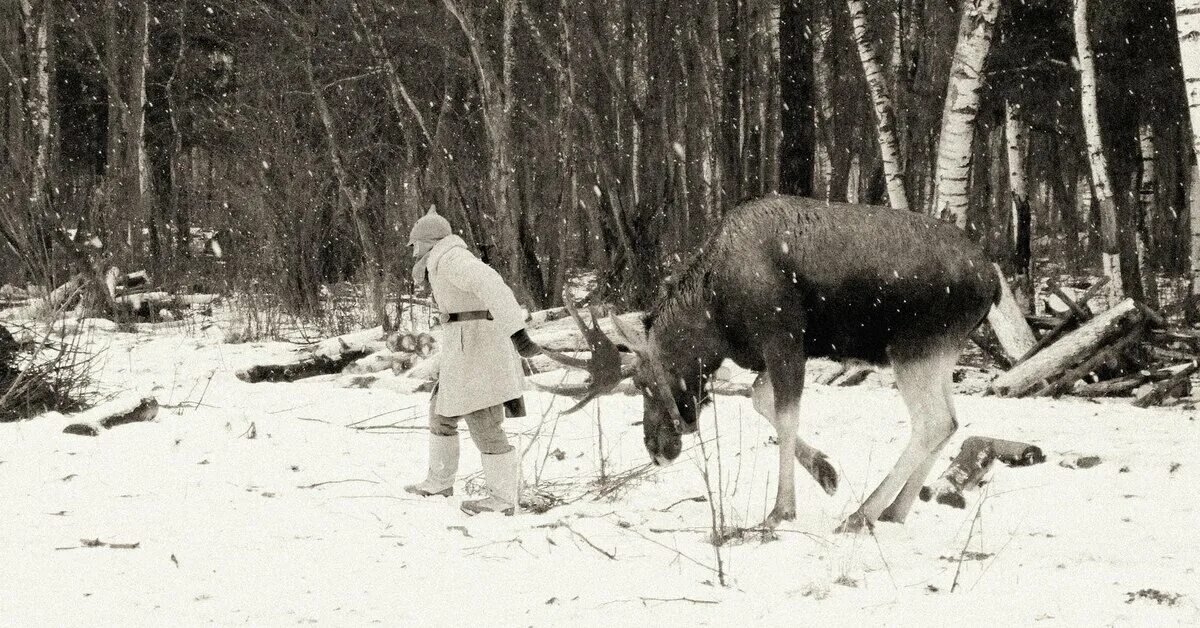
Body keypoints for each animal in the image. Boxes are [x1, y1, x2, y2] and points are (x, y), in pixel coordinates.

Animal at [542, 194, 993, 533]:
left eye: (640, 382)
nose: (655, 450)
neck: (715, 317)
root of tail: (994, 280)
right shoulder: (775, 353)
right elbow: (759, 399)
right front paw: (826, 472)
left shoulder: (784, 341)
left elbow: (786, 416)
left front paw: (780, 511)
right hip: (941, 354)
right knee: (952, 421)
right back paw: (895, 511)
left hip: (913, 349)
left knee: (932, 422)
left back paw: (861, 514)